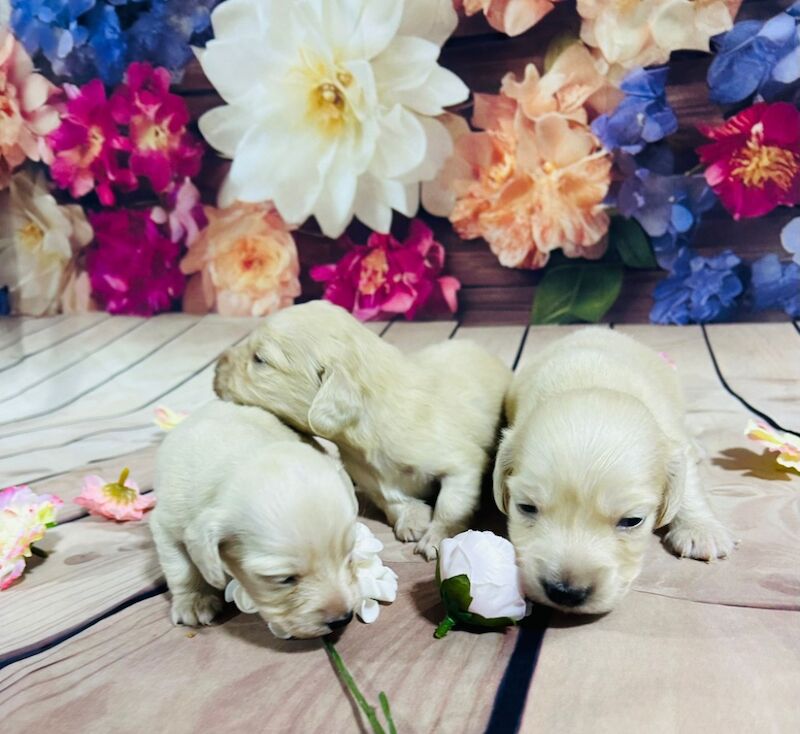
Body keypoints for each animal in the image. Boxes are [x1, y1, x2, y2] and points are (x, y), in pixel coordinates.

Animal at [151, 400, 362, 636]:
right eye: (285, 579)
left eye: (349, 557)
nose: (343, 619)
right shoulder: (167, 523)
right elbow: (182, 568)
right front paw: (195, 600)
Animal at [214, 302, 512, 560]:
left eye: (259, 359)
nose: (216, 366)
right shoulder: (367, 473)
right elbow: (390, 498)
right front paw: (412, 519)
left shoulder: (462, 463)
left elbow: (451, 504)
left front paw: (436, 537)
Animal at [496, 328, 736, 616]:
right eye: (526, 507)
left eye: (632, 521)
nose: (565, 593)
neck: (592, 382)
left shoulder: (671, 435)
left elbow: (689, 486)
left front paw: (701, 531)